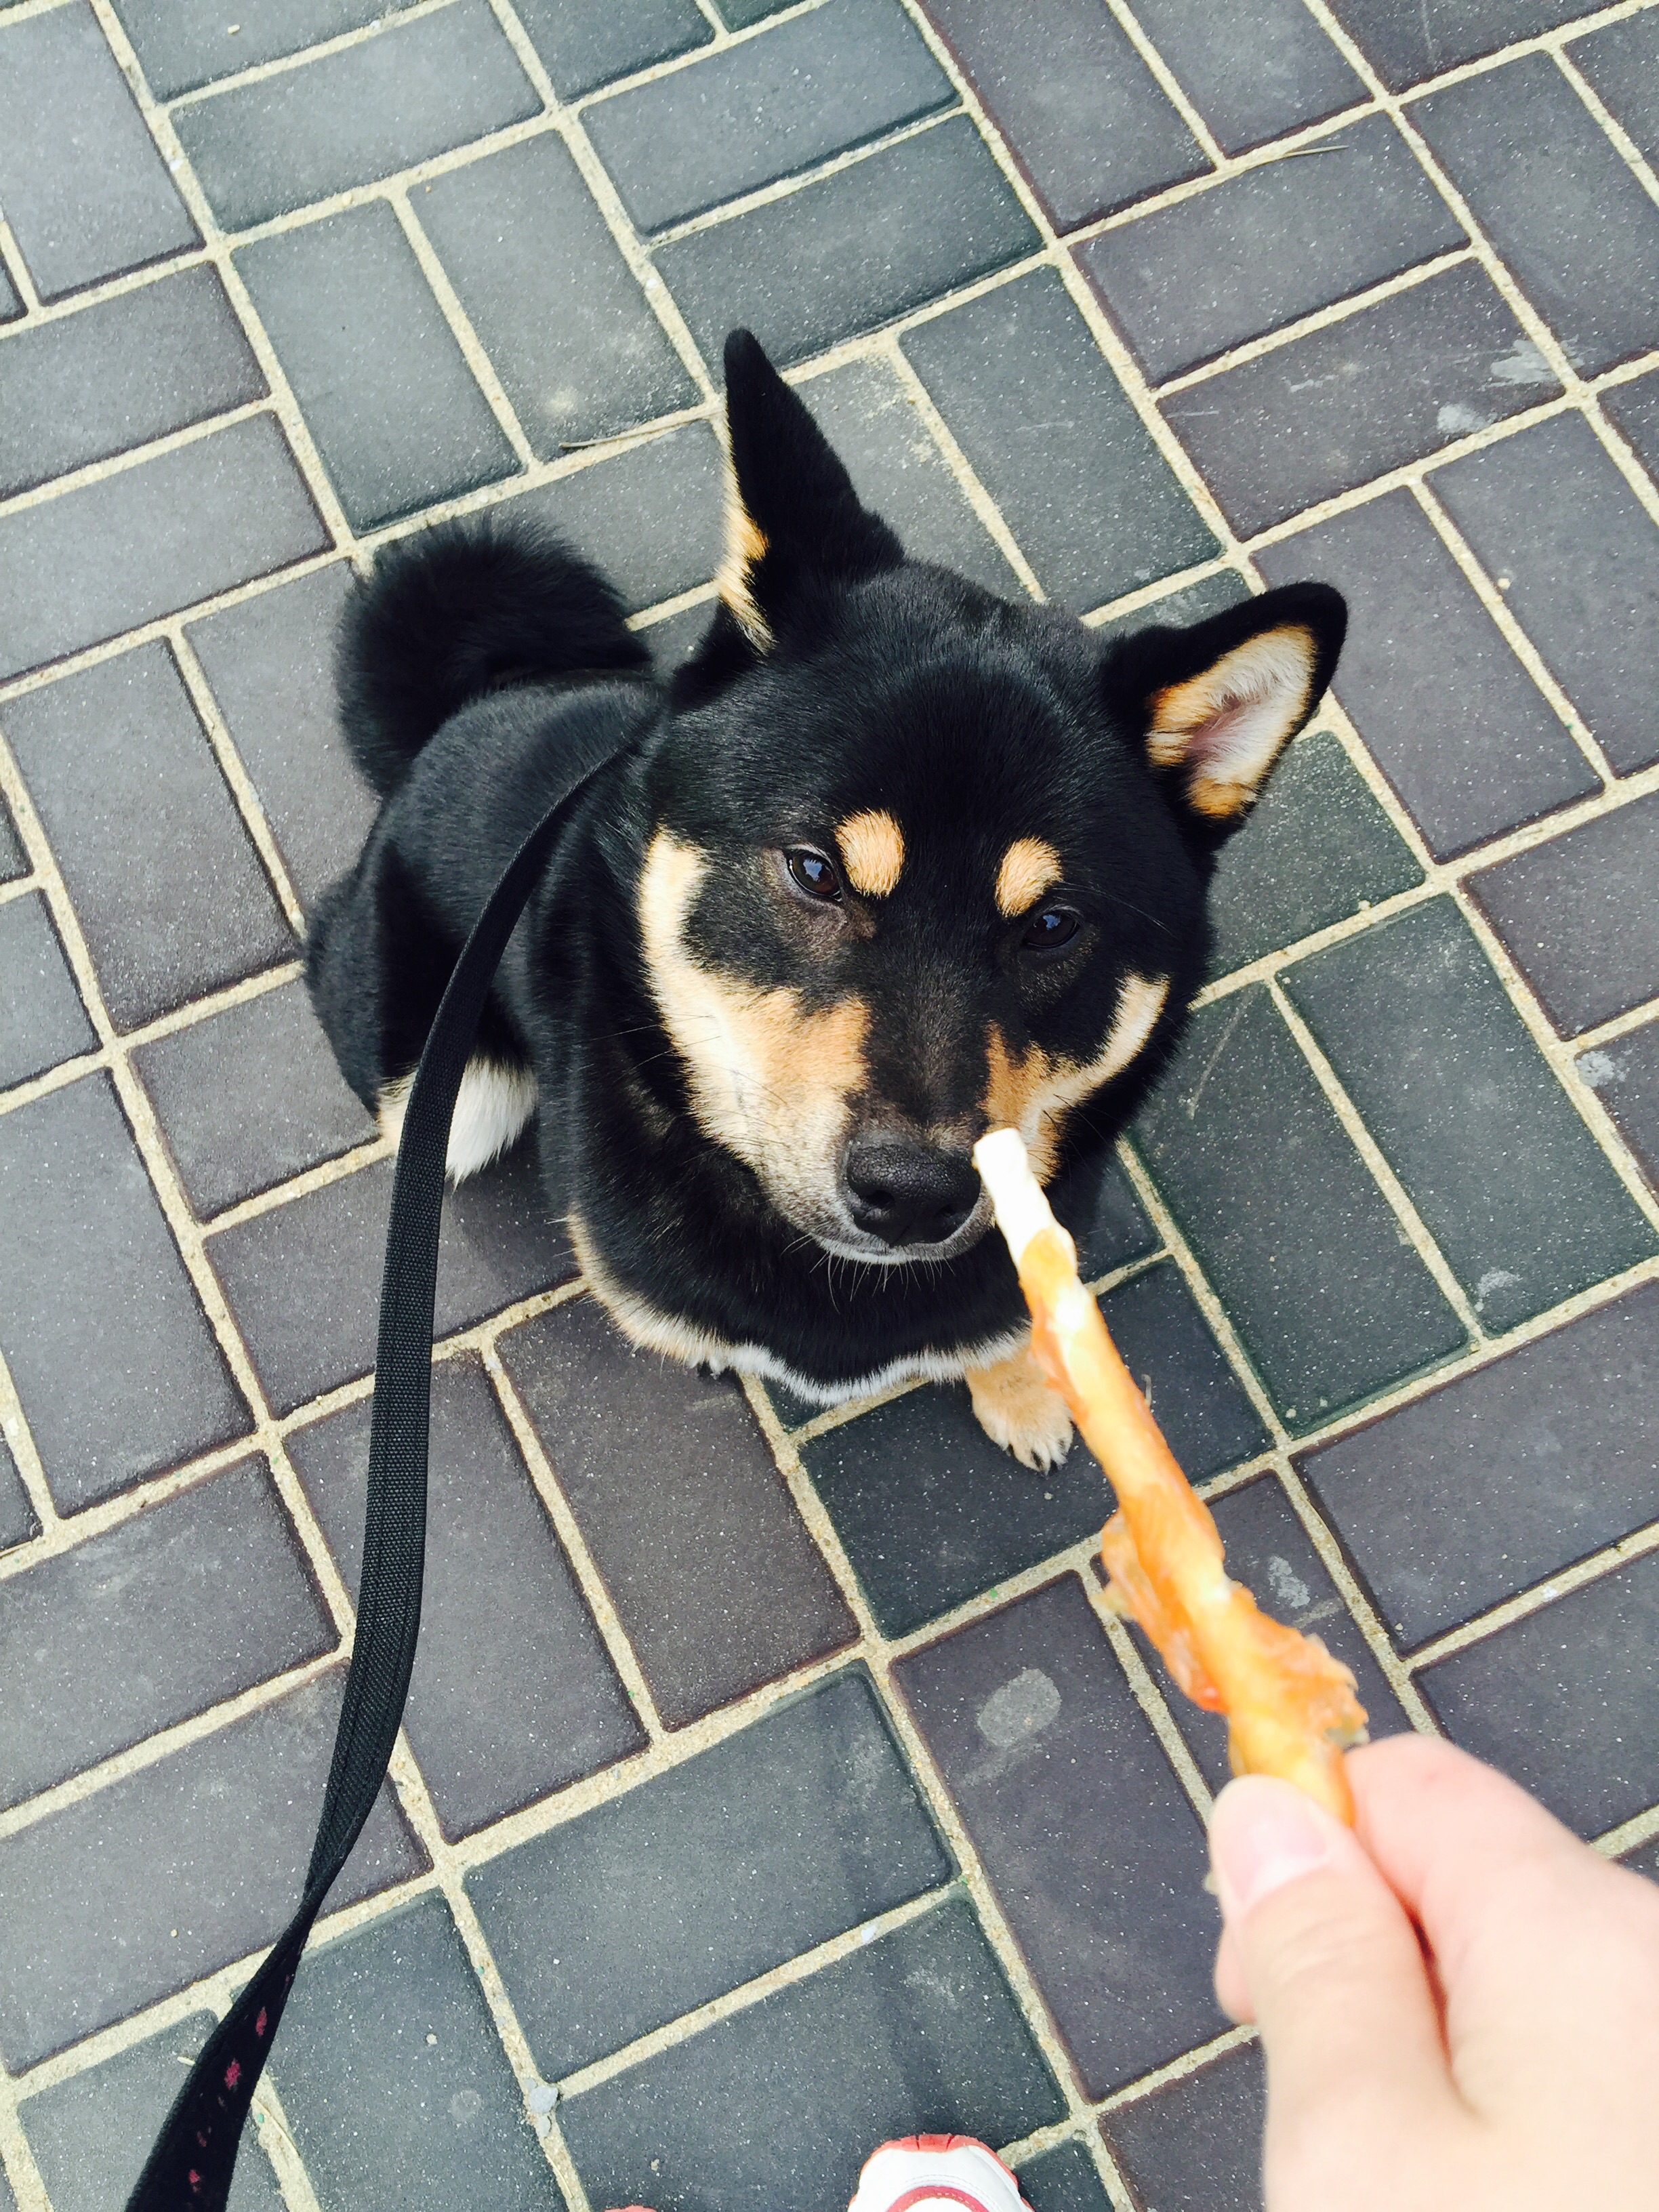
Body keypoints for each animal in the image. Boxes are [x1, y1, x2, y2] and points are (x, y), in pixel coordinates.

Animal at [308, 329, 1345, 1469]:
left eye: (1051, 927)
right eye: (815, 872)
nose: (913, 1194)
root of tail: (471, 710)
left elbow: (1004, 1323)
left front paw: (1025, 1393)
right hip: (449, 1101)